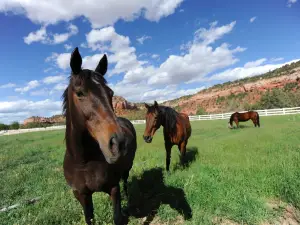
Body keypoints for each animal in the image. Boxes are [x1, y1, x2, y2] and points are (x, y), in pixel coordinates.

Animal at [62, 47, 137, 225]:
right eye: (80, 93)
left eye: (110, 93)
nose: (118, 143)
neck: (83, 162)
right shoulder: (82, 195)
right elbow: (89, 218)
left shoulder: (113, 188)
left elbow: (117, 217)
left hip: (127, 168)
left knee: (125, 181)